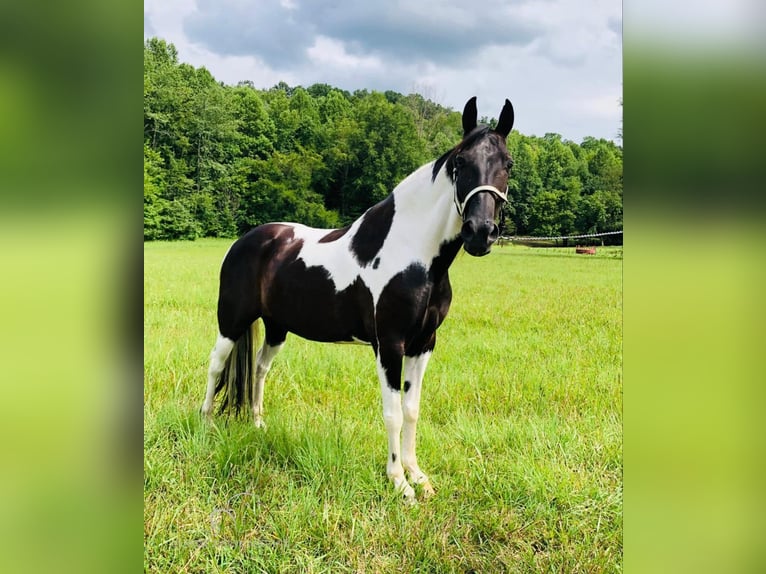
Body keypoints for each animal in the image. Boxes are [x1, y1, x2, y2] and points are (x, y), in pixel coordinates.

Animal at [204, 97, 516, 502]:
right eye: (460, 162)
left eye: (508, 163)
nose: (480, 233)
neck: (415, 253)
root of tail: (248, 240)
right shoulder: (390, 345)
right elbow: (393, 413)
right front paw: (399, 483)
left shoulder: (424, 343)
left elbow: (412, 409)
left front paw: (419, 476)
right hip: (232, 320)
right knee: (215, 366)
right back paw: (206, 425)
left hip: (276, 329)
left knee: (259, 368)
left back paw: (258, 424)